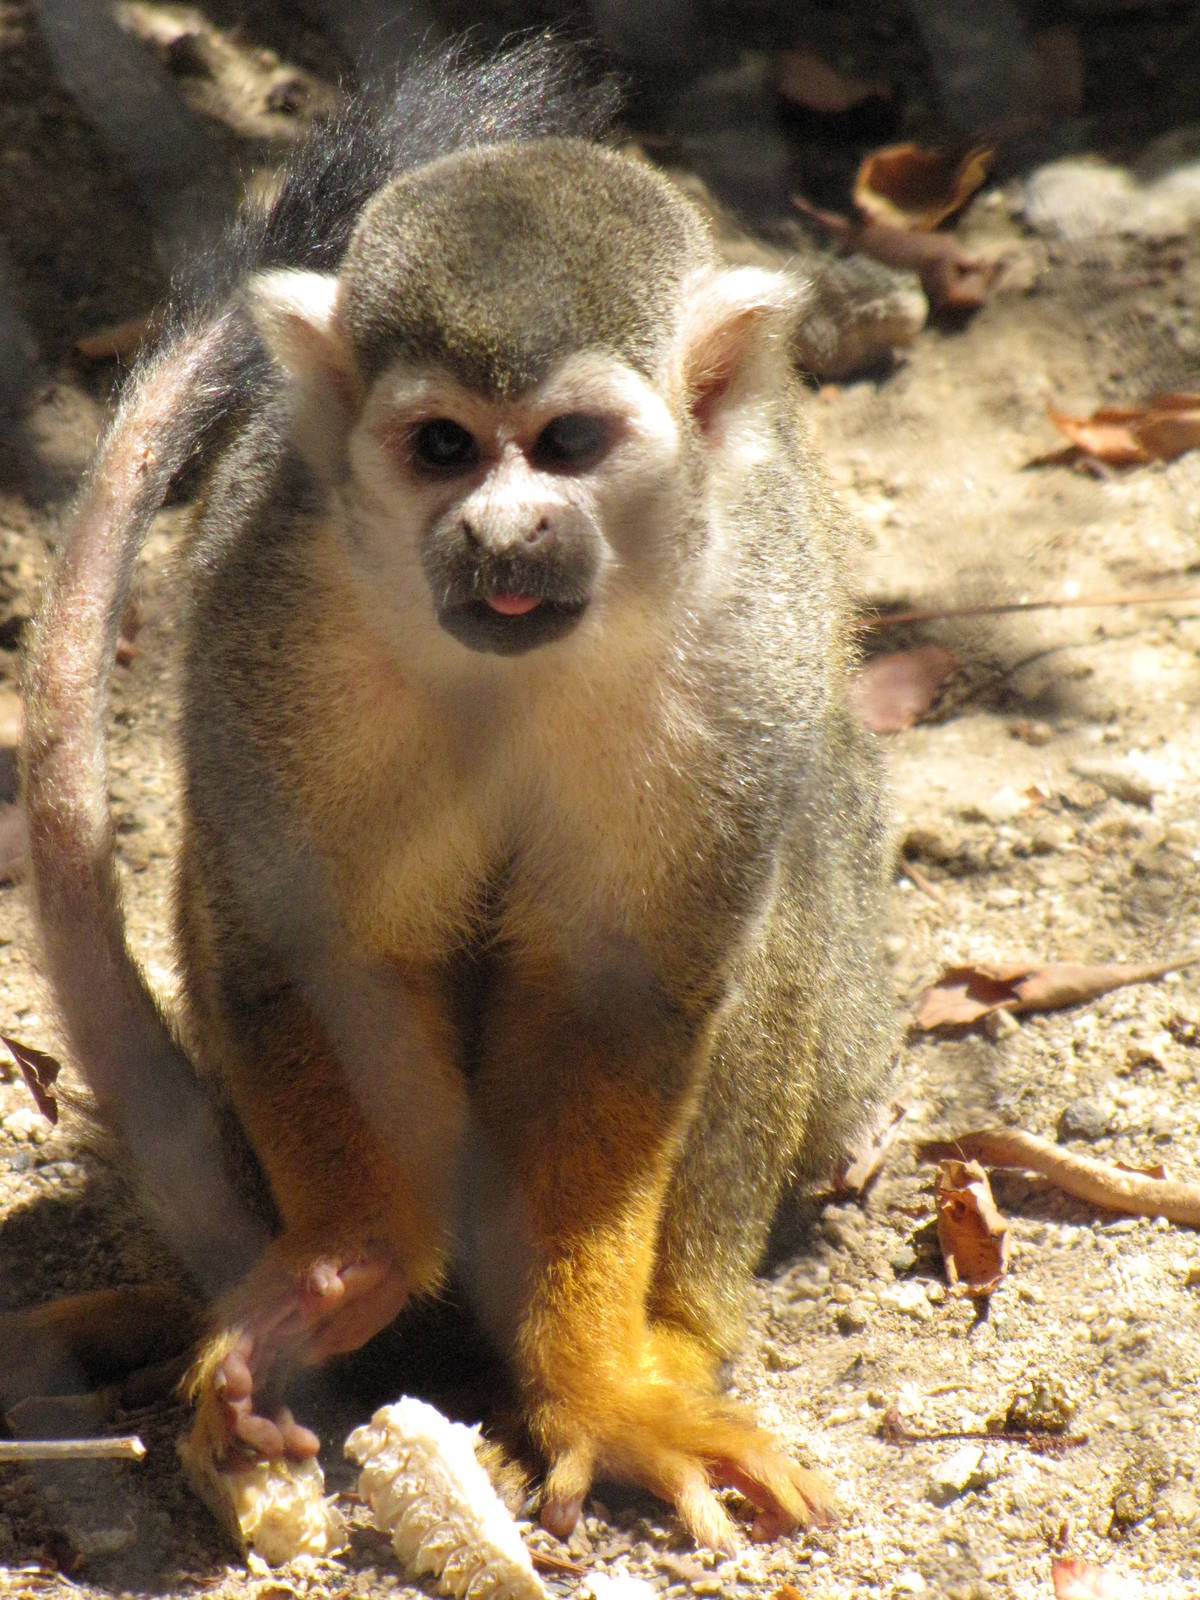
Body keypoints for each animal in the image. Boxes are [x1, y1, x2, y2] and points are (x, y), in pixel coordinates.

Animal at [21, 40, 894, 1553]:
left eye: (571, 442)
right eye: (442, 448)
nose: (502, 531)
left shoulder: (739, 645)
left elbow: (627, 988)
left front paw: (599, 1386)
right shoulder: (272, 608)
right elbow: (311, 945)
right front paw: (347, 1267)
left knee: (778, 880)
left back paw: (671, 1337)